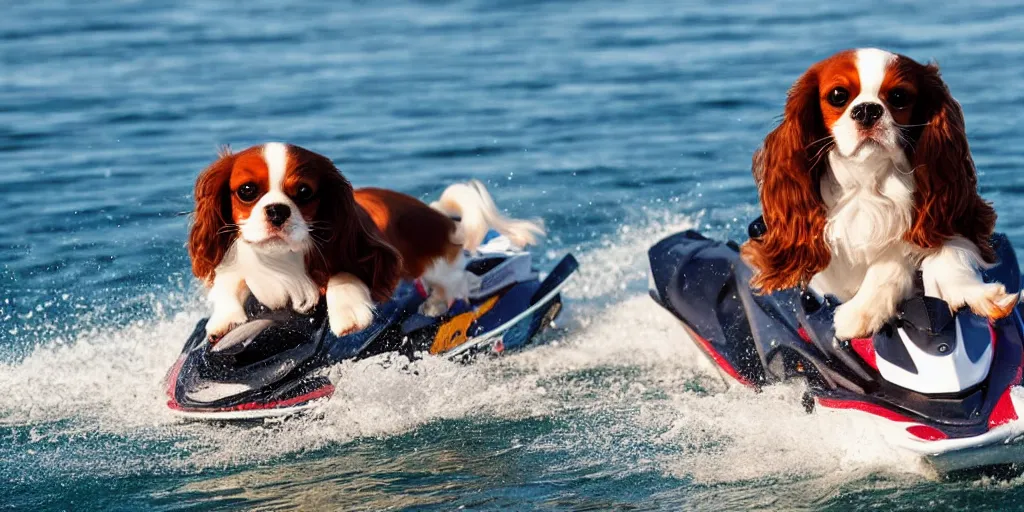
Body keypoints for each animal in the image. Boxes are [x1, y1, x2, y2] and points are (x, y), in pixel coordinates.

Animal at [190, 143, 544, 339]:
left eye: (304, 192)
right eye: (247, 191)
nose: (277, 211)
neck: (281, 258)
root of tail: (438, 216)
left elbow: (342, 275)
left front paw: (348, 315)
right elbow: (228, 281)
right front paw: (224, 320)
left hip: (437, 266)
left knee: (457, 286)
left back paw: (435, 306)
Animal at [741, 48, 1019, 339]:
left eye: (898, 96)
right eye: (838, 95)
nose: (867, 110)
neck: (868, 183)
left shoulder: (952, 215)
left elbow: (938, 249)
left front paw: (974, 293)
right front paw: (861, 311)